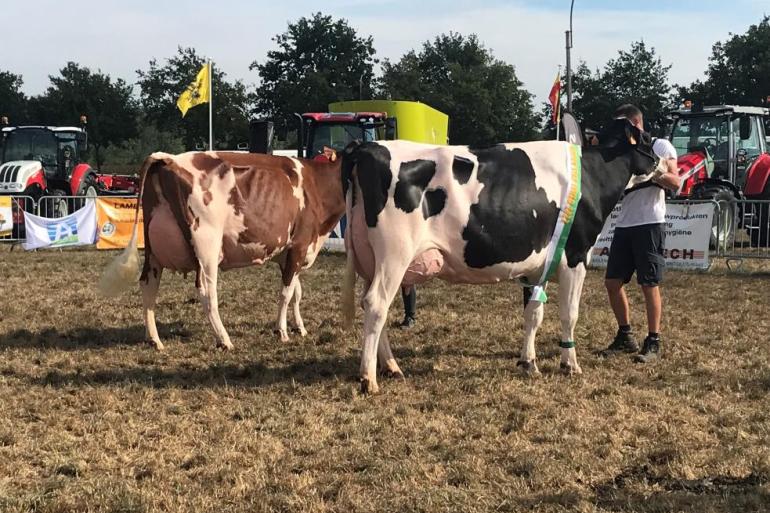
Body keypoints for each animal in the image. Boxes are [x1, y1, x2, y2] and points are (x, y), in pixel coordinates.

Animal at [98, 148, 342, 348]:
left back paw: (154, 340)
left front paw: (300, 327)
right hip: (207, 246)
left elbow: (296, 292)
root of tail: (169, 158)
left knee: (148, 284)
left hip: (153, 250)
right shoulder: (299, 245)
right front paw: (281, 331)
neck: (314, 184)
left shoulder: (290, 253)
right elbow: (287, 292)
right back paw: (224, 339)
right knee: (206, 291)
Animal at [340, 120, 664, 392]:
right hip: (394, 253)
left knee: (372, 304)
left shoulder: (538, 266)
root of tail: (366, 147)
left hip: (370, 258)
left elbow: (533, 314)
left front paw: (528, 362)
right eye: (648, 138)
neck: (593, 175)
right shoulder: (576, 255)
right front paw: (570, 364)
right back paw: (369, 378)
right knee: (376, 304)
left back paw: (391, 367)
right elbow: (569, 313)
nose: (665, 162)